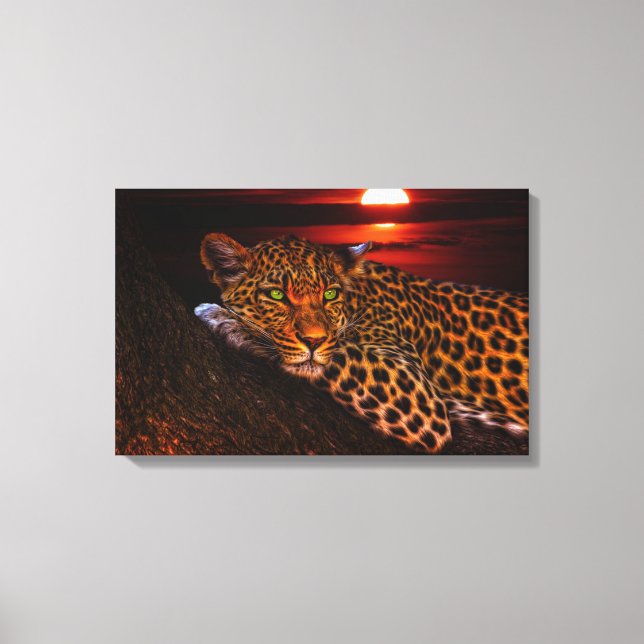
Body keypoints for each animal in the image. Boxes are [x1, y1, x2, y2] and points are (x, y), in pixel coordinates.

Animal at [195, 233, 529, 454]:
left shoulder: (416, 391)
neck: (357, 300)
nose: (314, 340)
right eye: (277, 295)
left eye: (329, 294)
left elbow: (337, 354)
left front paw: (225, 319)